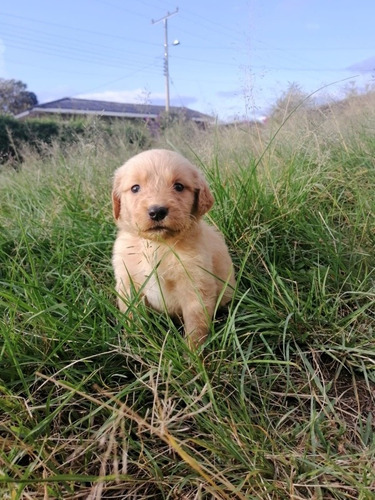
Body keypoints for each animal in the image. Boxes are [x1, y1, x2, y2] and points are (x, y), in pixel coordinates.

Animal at [111, 149, 235, 348]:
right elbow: (132, 317)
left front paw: (192, 353)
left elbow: (195, 326)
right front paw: (136, 343)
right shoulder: (128, 282)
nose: (157, 212)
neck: (157, 245)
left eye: (179, 186)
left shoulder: (195, 287)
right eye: (135, 188)